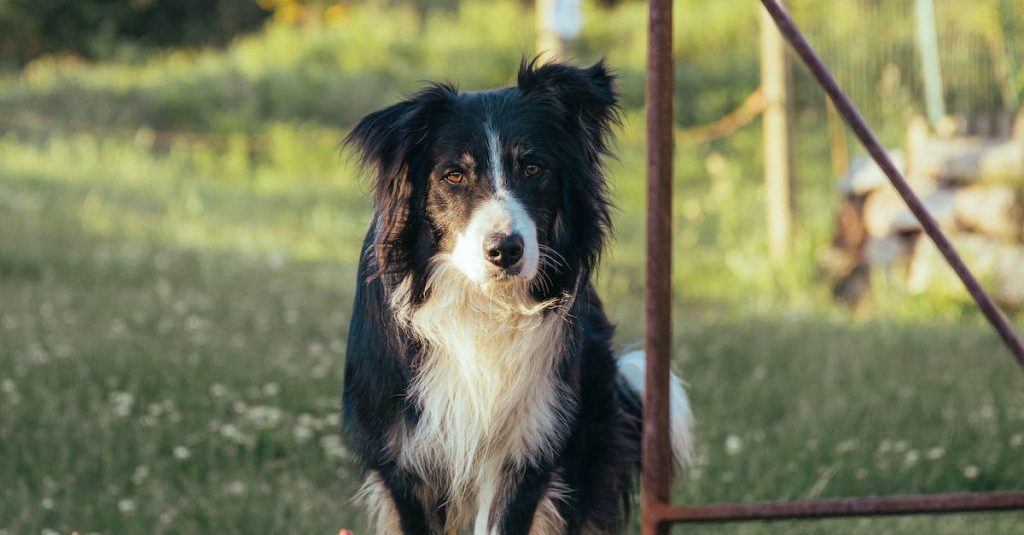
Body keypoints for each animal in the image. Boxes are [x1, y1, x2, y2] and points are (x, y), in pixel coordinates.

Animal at [339, 59, 692, 532]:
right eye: (454, 175)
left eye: (532, 168)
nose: (505, 250)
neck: (484, 304)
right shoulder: (405, 456)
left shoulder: (529, 450)